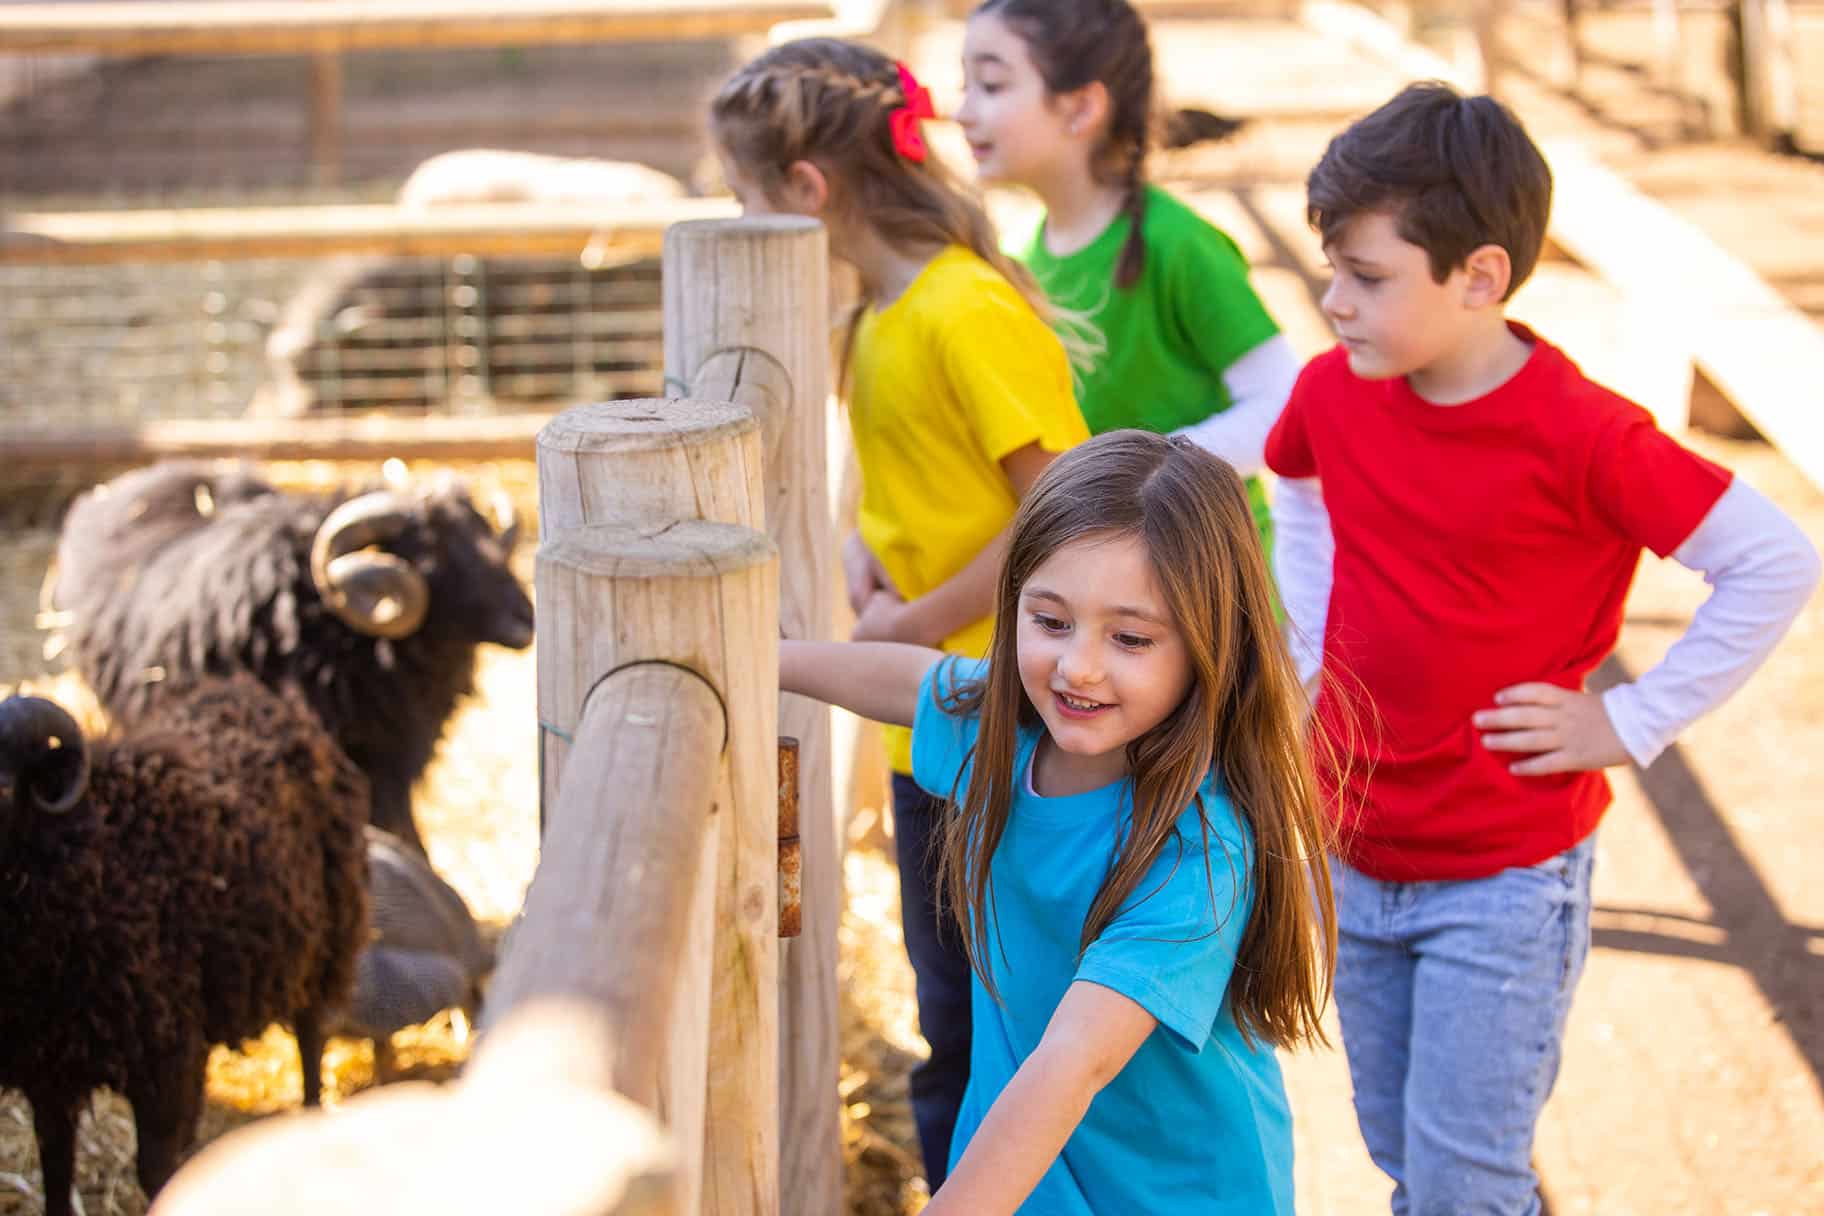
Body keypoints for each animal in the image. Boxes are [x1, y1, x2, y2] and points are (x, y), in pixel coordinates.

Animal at [0, 674, 370, 1216]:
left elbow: (154, 1172)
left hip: (325, 947)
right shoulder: (47, 1068)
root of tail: (267, 697)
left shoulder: (162, 1054)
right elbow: (56, 1175)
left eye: (6, 773)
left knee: (310, 1041)